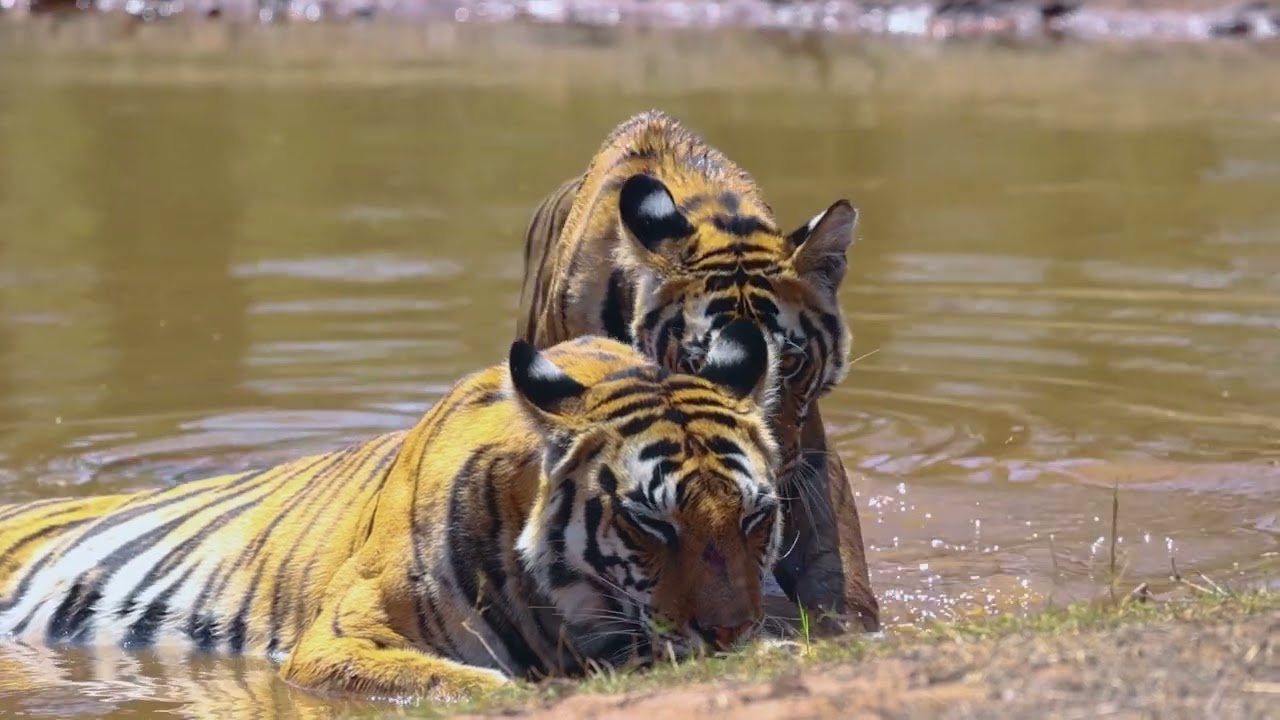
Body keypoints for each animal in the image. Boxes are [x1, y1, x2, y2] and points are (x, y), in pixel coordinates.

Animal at [517, 109, 879, 634]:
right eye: (696, 363)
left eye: (791, 361)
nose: (765, 463)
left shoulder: (807, 448)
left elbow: (834, 554)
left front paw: (850, 628)